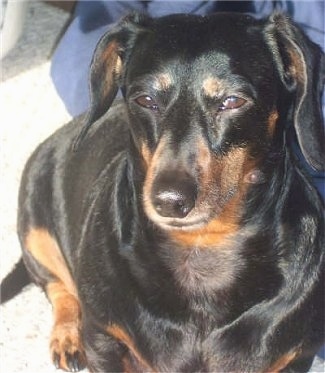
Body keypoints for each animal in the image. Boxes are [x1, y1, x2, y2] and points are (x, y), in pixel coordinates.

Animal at [1, 10, 322, 370]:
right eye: (145, 99)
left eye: (232, 101)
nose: (169, 201)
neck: (201, 248)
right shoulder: (102, 339)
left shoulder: (297, 355)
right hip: (34, 230)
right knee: (58, 287)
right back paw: (67, 335)